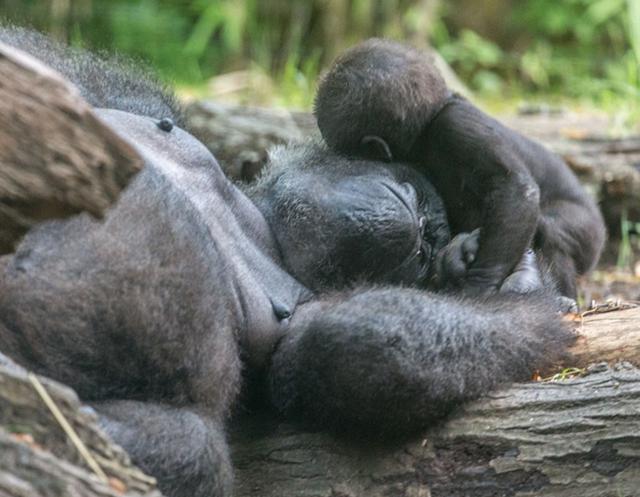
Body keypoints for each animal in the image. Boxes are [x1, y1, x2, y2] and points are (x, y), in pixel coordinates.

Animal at [0, 26, 568, 496]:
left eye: (425, 251)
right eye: (416, 191)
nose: (426, 233)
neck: (254, 218)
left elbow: (349, 344)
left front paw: (522, 287)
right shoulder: (126, 100)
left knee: (193, 449)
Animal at [316, 38, 604, 298]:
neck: (428, 125)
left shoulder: (456, 124)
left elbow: (513, 187)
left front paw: (481, 285)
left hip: (590, 232)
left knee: (550, 229)